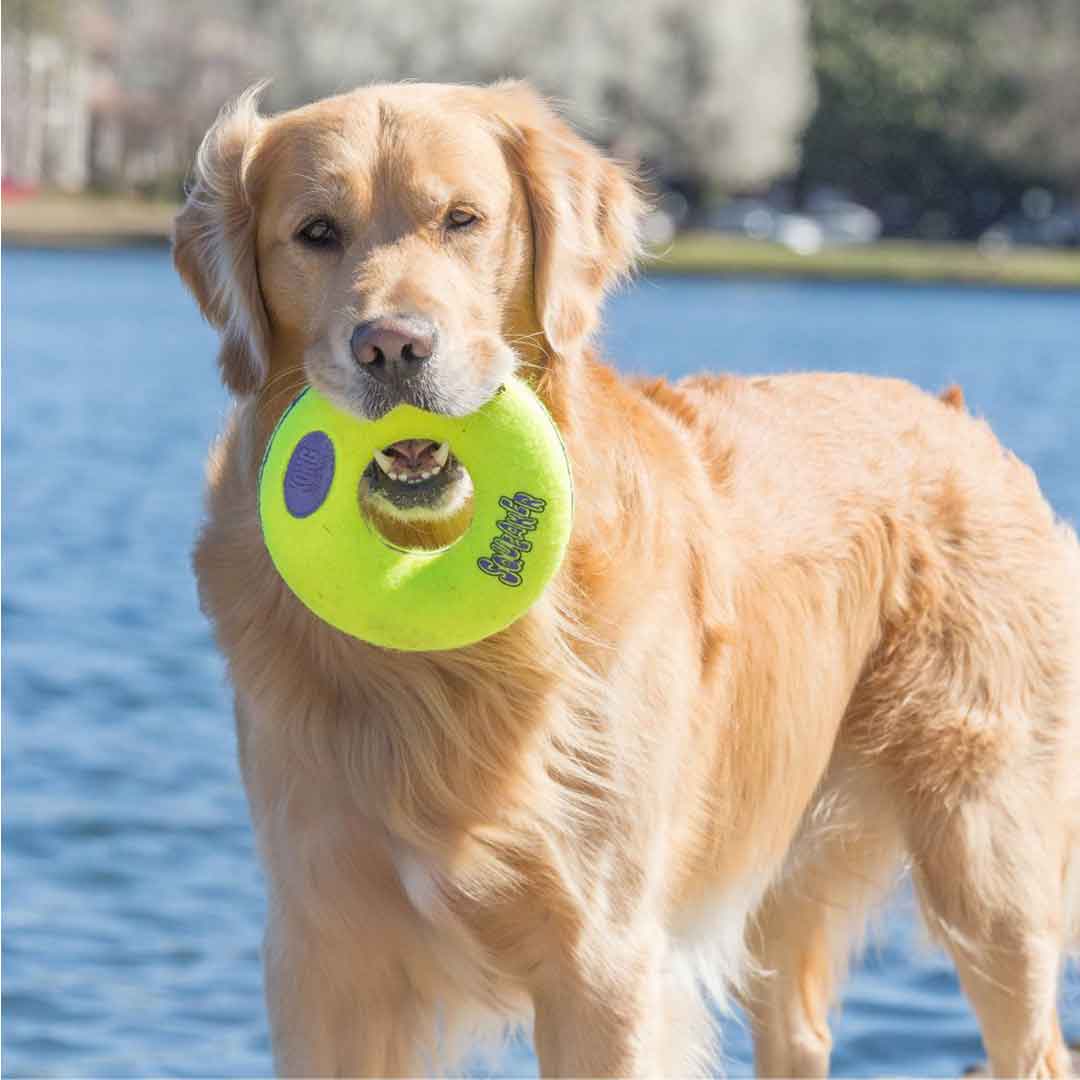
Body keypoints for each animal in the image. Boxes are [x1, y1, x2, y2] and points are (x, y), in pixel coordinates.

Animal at [177, 79, 1080, 1075]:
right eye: (316, 232)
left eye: (464, 219)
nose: (392, 348)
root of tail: (965, 422)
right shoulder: (326, 953)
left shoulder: (602, 958)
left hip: (990, 861)